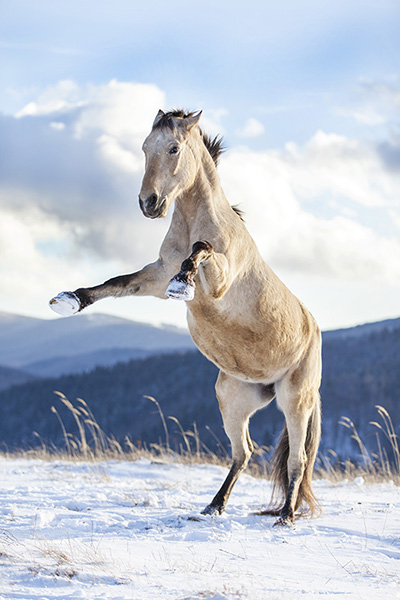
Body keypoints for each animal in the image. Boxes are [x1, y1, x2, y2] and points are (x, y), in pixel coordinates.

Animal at [48, 108, 322, 524]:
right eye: (145, 147)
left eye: (174, 148)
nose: (149, 203)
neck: (196, 219)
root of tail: (315, 330)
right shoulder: (154, 277)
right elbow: (117, 283)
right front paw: (70, 300)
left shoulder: (219, 282)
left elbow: (202, 249)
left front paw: (184, 282)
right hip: (233, 398)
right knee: (244, 452)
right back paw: (214, 506)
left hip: (295, 399)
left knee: (297, 459)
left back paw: (286, 517)